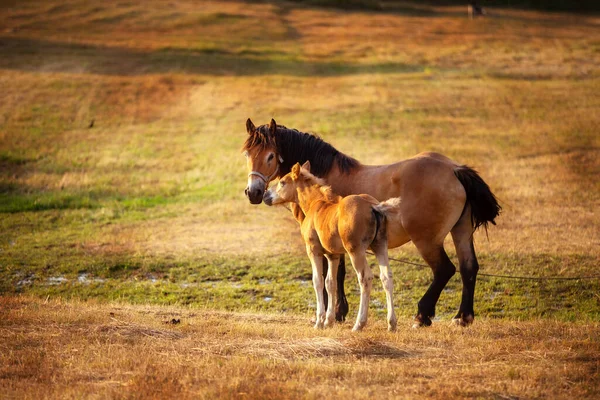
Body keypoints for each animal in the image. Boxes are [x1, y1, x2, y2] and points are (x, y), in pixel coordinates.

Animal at [264, 160, 400, 332]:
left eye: (282, 182)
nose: (265, 196)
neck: (316, 204)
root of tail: (373, 206)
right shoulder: (333, 255)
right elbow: (331, 282)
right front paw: (329, 321)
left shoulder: (313, 250)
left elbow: (318, 281)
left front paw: (319, 322)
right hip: (380, 246)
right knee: (386, 277)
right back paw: (391, 324)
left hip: (356, 251)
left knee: (365, 278)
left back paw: (359, 324)